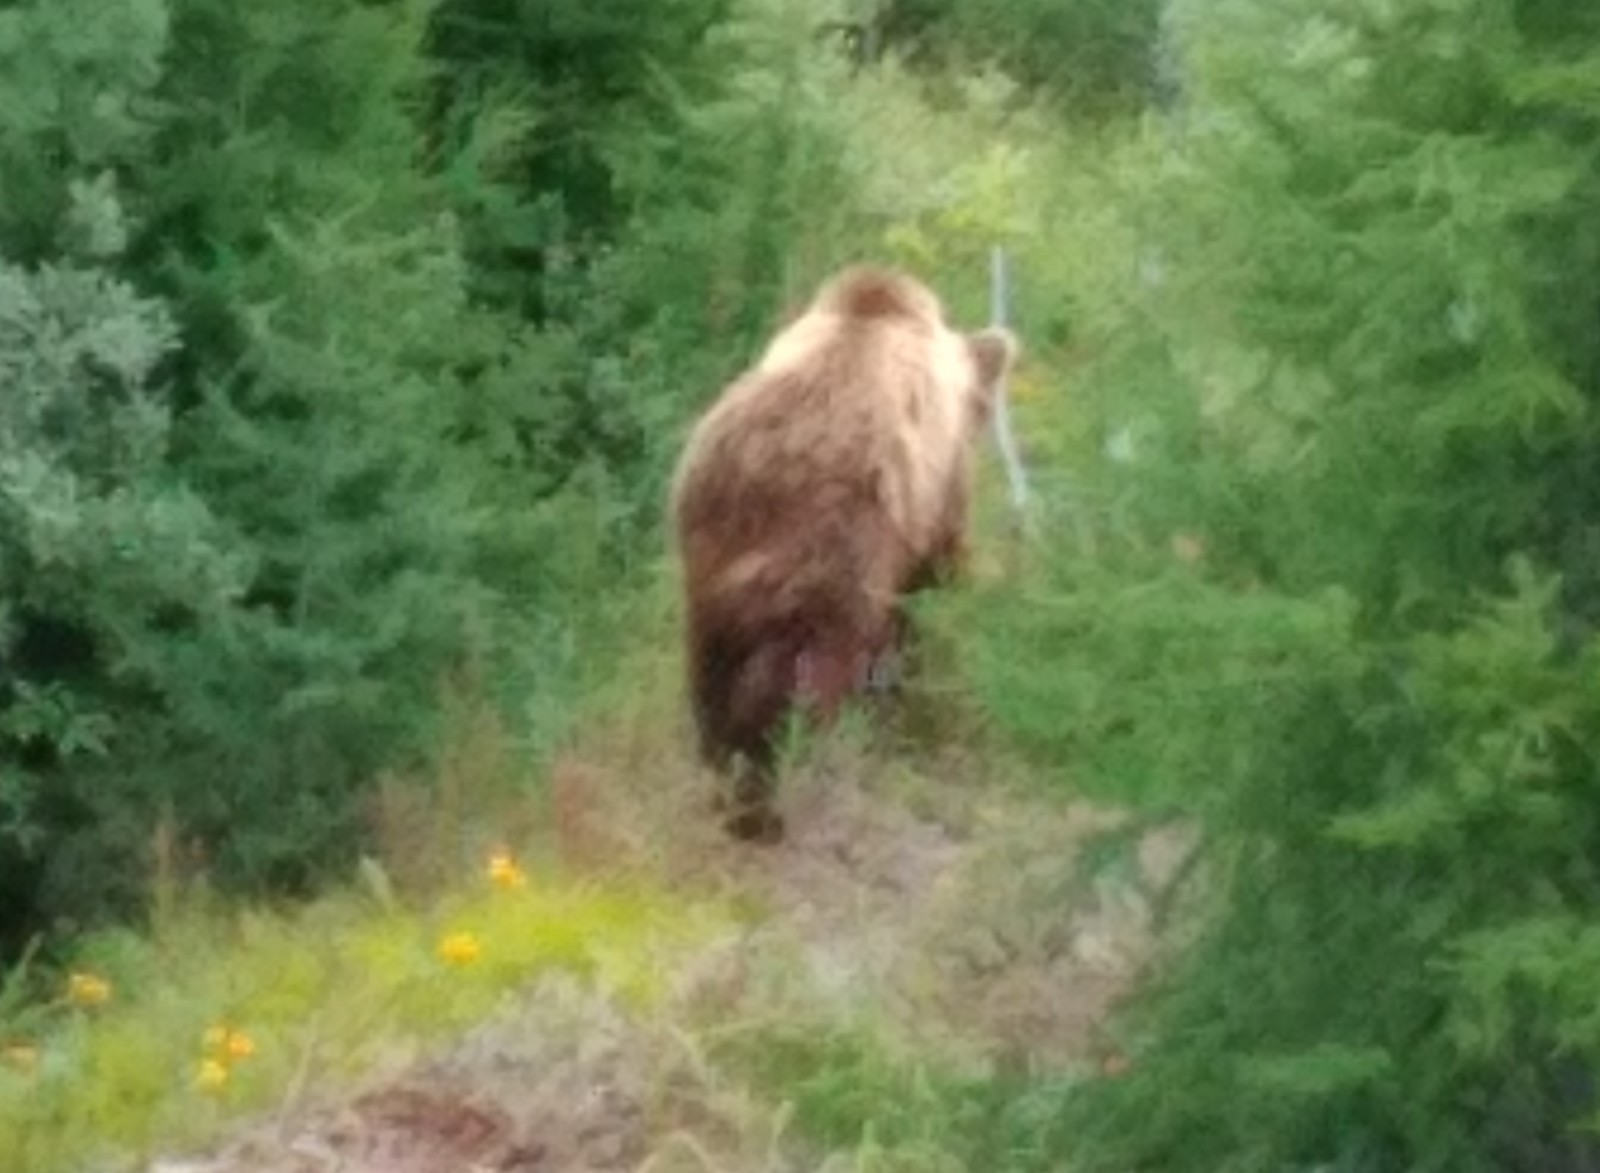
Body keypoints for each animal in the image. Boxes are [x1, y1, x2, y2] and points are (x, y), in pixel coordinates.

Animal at [665, 262, 1017, 838]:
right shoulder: (930, 496)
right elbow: (927, 589)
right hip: (837, 548)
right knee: (812, 667)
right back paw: (779, 786)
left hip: (711, 546)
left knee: (711, 668)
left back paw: (727, 775)